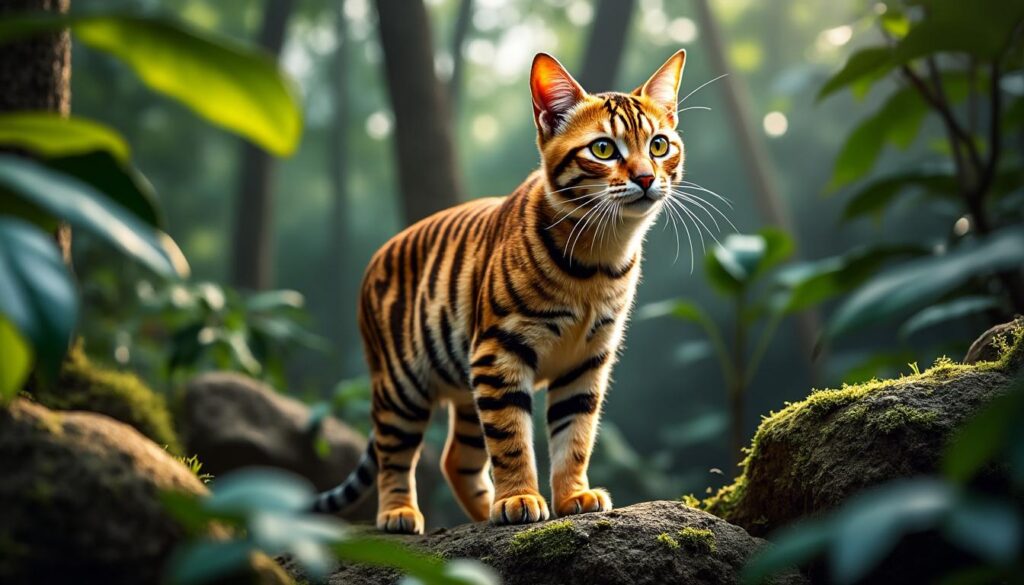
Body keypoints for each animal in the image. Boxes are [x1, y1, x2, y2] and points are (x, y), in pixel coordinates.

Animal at [314, 50, 688, 534]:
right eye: (603, 149)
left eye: (659, 145)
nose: (645, 178)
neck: (601, 252)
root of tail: (377, 255)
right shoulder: (500, 350)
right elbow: (512, 438)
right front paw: (520, 500)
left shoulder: (588, 360)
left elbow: (575, 435)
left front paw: (573, 497)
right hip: (403, 386)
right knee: (393, 452)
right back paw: (399, 514)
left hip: (466, 387)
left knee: (456, 458)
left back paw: (481, 514)